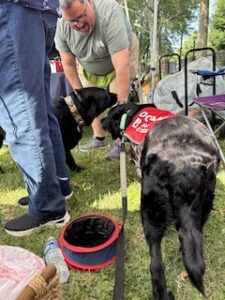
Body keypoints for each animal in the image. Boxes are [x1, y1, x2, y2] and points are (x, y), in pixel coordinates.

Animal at [102, 103, 220, 300]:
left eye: (109, 114)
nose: (100, 120)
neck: (131, 113)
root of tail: (184, 167)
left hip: (150, 212)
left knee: (156, 263)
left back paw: (160, 293)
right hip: (205, 203)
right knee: (190, 235)